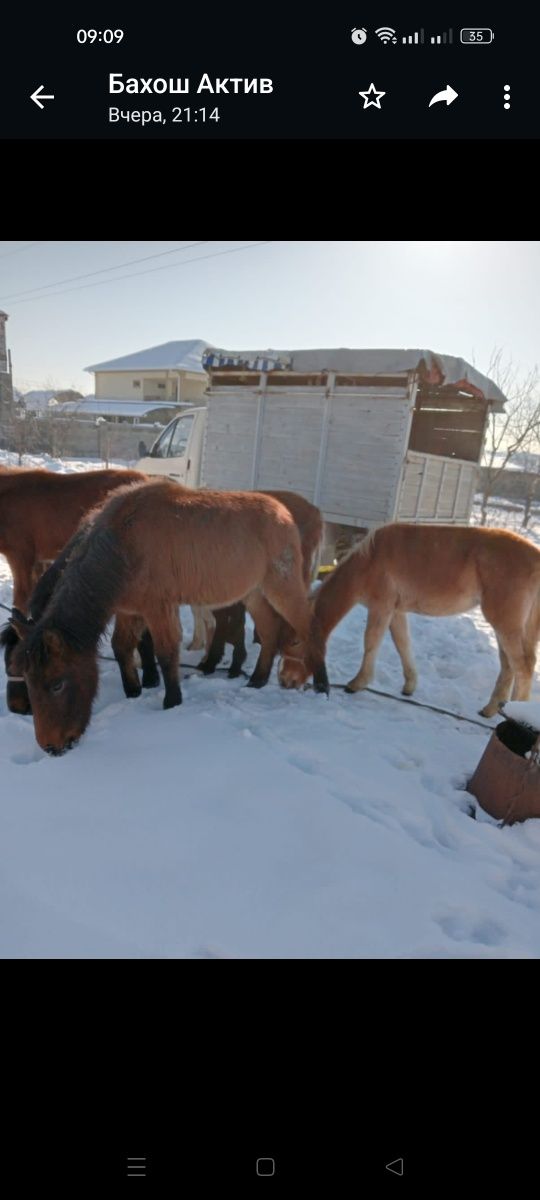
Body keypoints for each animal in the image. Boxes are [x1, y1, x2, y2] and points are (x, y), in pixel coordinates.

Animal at [278, 523, 540, 710]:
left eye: (295, 642)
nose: (284, 681)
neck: (370, 558)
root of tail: (535, 556)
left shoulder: (381, 608)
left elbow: (371, 641)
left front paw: (357, 683)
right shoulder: (396, 612)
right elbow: (403, 645)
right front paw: (409, 686)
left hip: (504, 624)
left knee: (523, 667)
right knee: (509, 665)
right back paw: (493, 709)